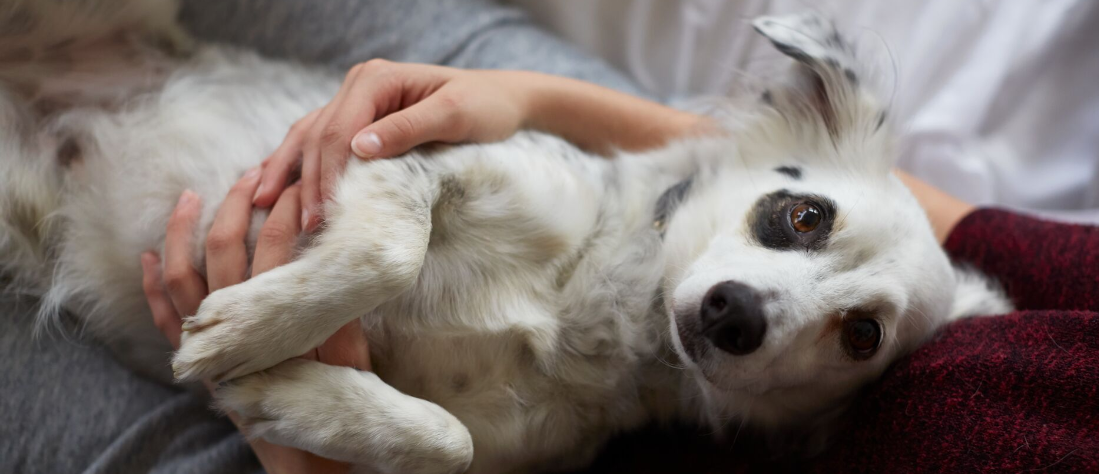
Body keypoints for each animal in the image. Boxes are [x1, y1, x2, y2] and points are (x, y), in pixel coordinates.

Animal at [2, 1, 1011, 472]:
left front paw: (286, 393)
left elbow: (443, 438)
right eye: (803, 216)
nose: (734, 316)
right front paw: (252, 330)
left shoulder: (492, 453)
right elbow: (386, 252)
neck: (588, 312)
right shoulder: (411, 152)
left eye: (861, 335)